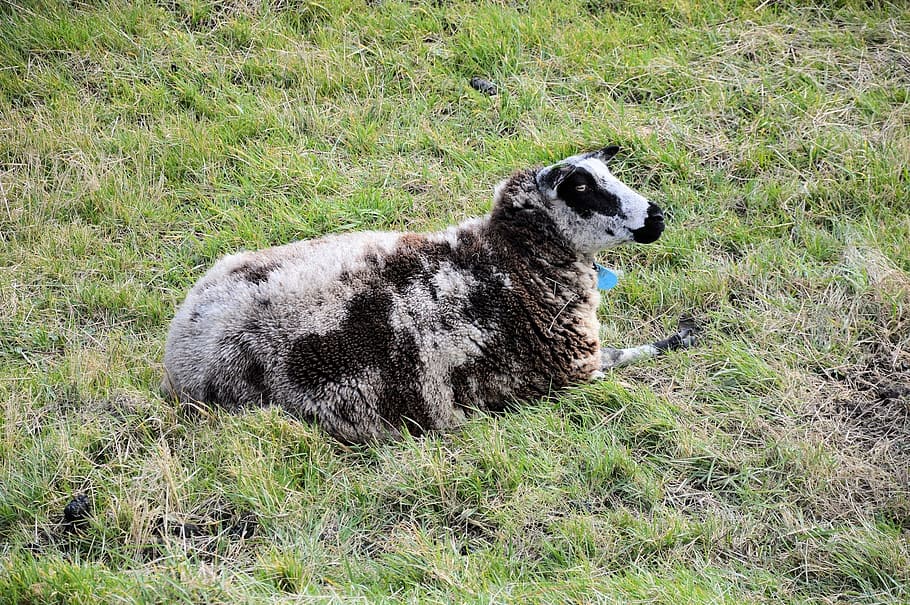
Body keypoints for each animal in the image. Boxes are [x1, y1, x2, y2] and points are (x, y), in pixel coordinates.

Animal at [161, 146, 695, 443]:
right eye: (582, 188)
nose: (657, 217)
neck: (514, 263)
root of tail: (178, 350)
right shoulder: (569, 374)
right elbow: (627, 356)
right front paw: (683, 336)